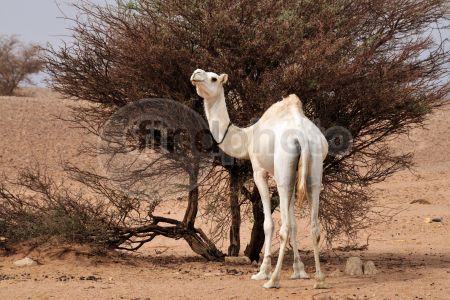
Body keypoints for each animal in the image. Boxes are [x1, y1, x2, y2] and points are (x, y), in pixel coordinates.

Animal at [190, 69, 326, 288]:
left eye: (213, 78)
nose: (196, 74)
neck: (247, 137)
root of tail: (302, 137)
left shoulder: (260, 170)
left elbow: (268, 224)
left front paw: (263, 271)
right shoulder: (292, 175)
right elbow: (295, 224)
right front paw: (299, 270)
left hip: (282, 170)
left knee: (283, 226)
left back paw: (273, 280)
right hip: (313, 170)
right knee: (313, 225)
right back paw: (320, 280)